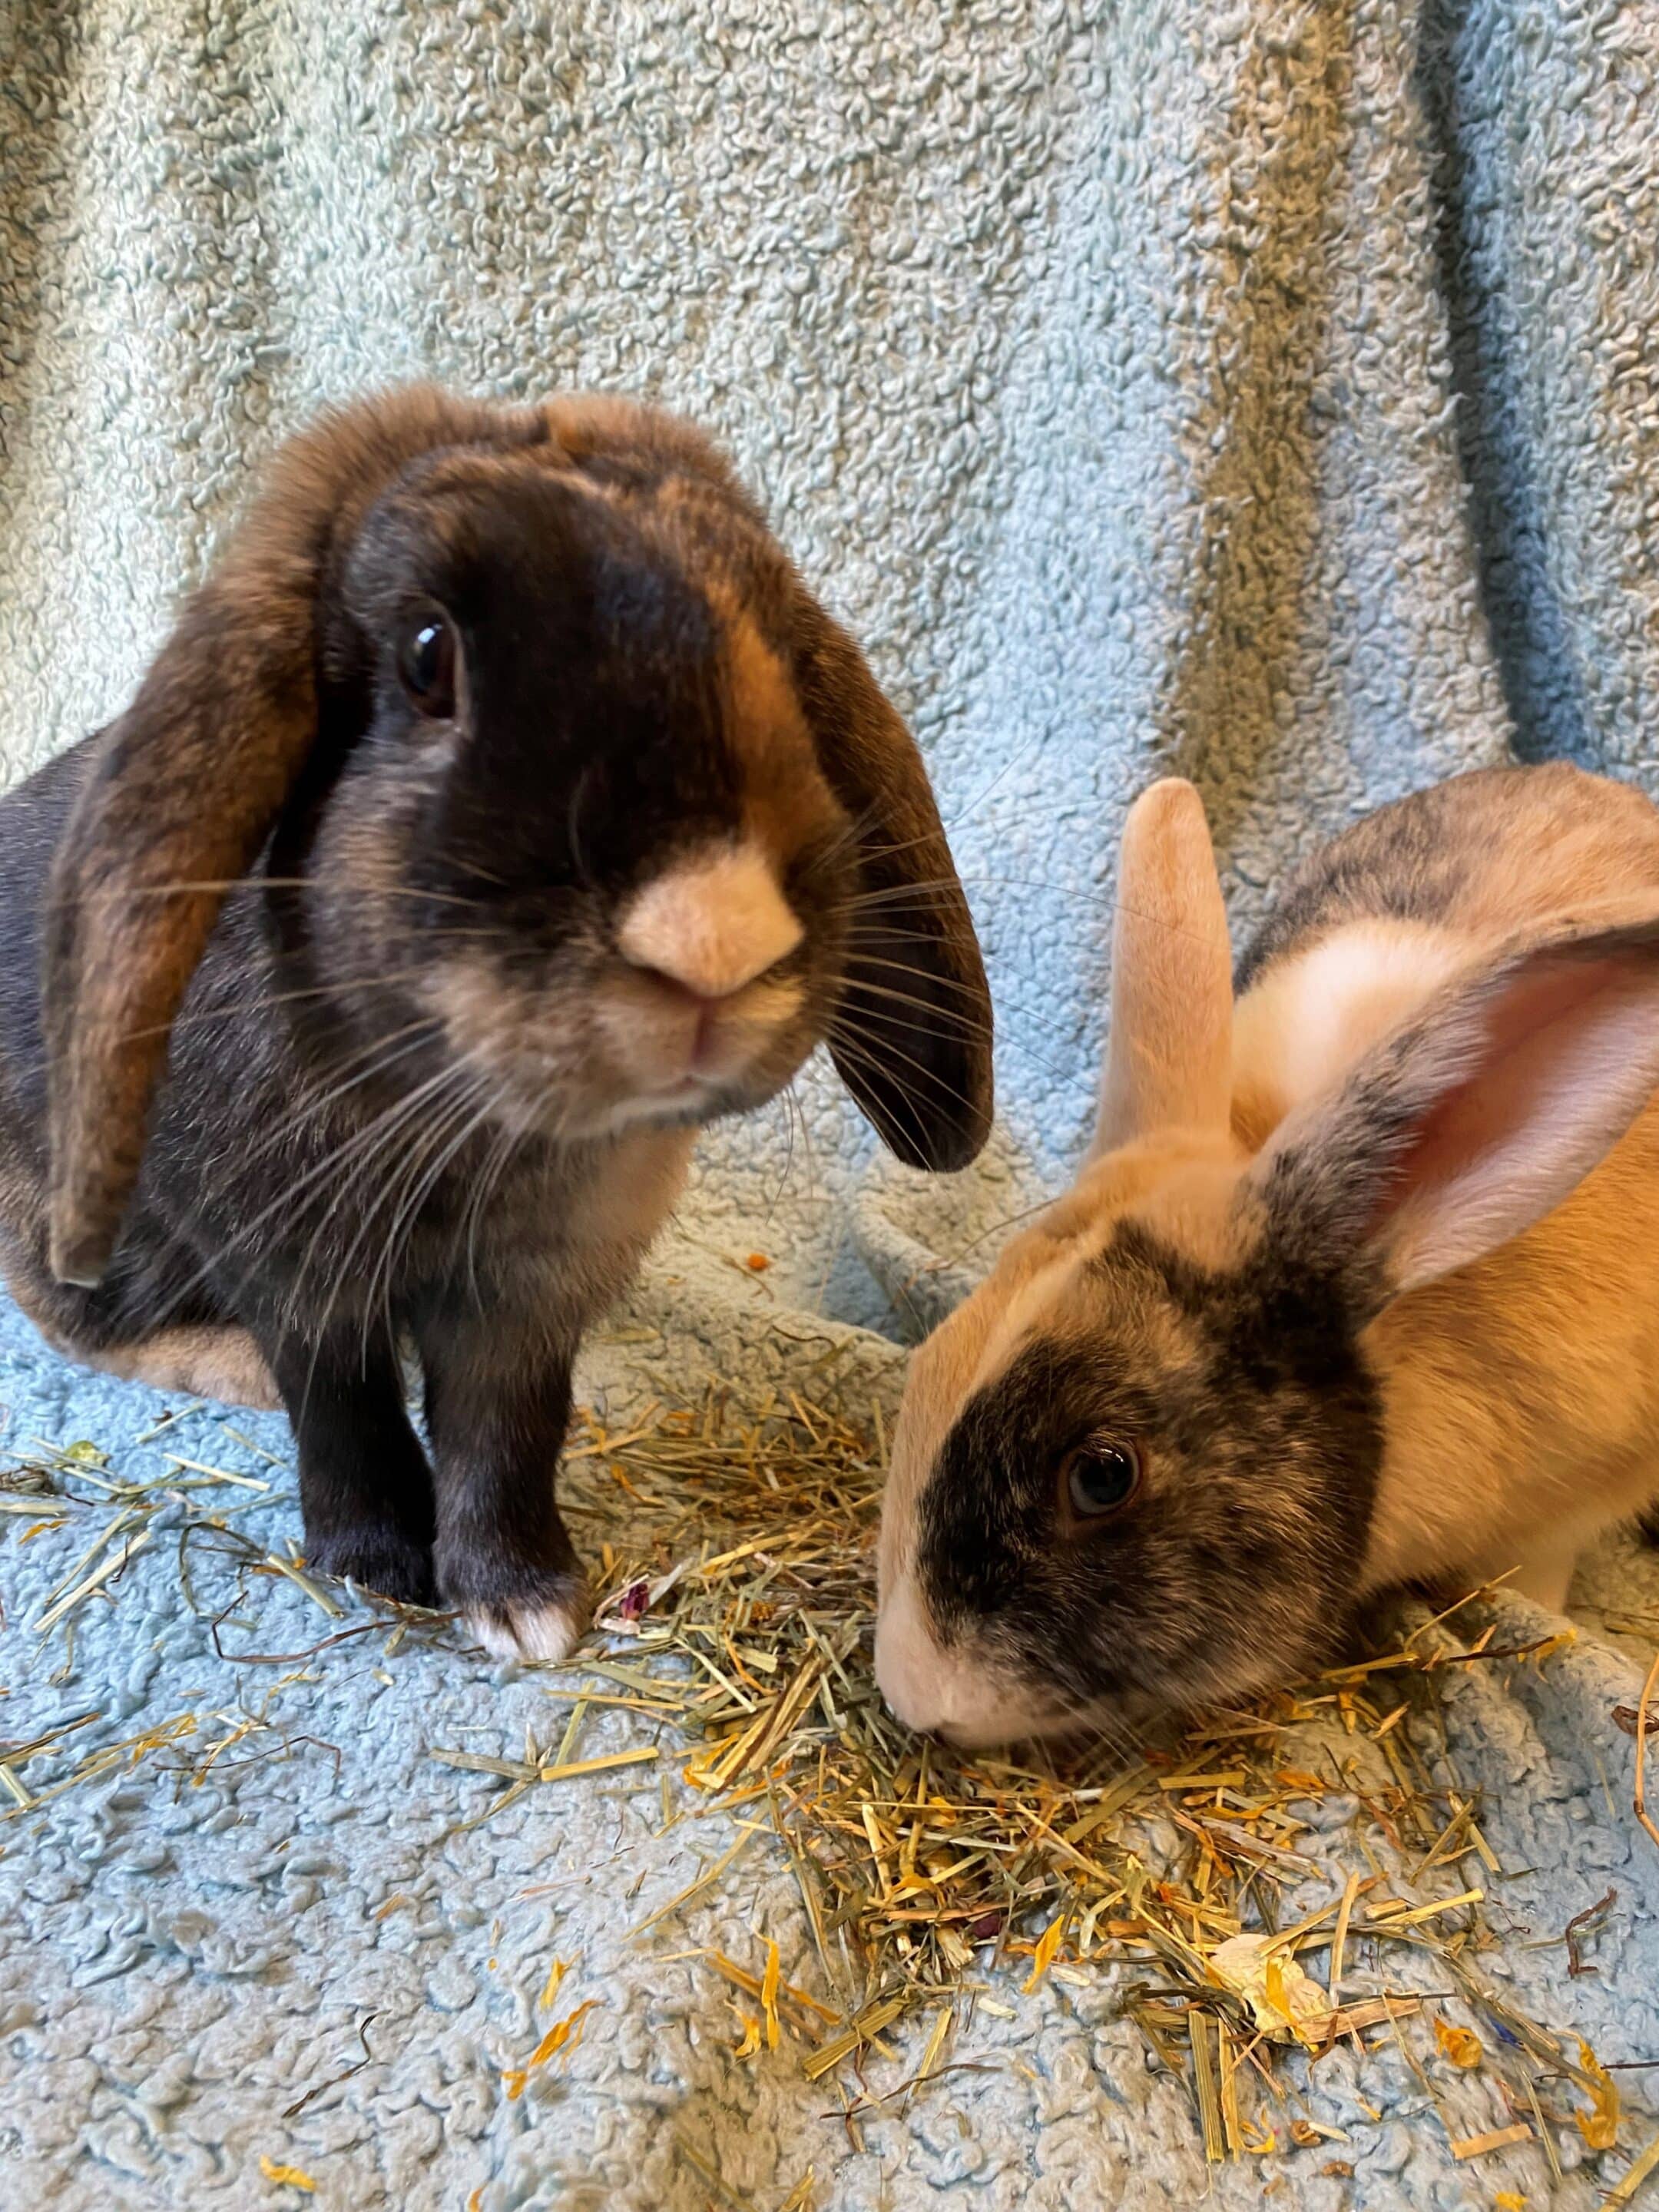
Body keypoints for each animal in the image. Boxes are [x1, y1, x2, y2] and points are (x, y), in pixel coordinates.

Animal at [0, 380, 986, 1663]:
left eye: (774, 646)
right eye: (429, 659)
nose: (715, 940)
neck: (474, 1123)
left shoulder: (530, 1299)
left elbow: (503, 1431)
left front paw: (524, 1604)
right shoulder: (298, 1270)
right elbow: (344, 1412)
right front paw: (374, 1570)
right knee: (67, 1313)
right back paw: (224, 1364)